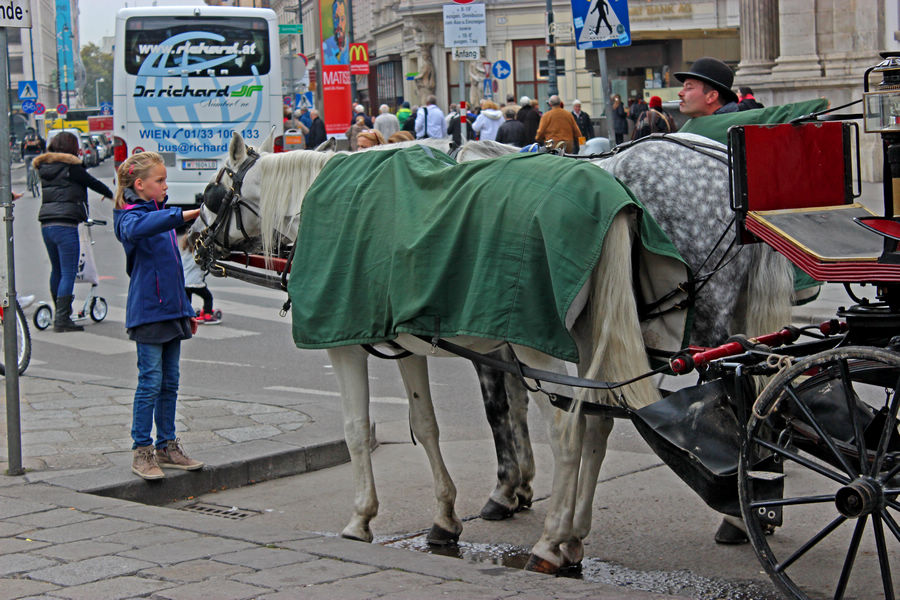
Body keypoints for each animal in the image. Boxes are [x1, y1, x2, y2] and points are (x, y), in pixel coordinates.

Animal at [192, 130, 684, 568]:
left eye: (211, 194)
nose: (191, 239)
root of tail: (610, 198)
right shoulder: (408, 348)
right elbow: (425, 424)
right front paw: (445, 519)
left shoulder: (344, 346)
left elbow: (356, 429)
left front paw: (360, 519)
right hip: (592, 336)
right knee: (597, 420)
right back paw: (575, 538)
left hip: (538, 349)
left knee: (567, 430)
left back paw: (551, 542)